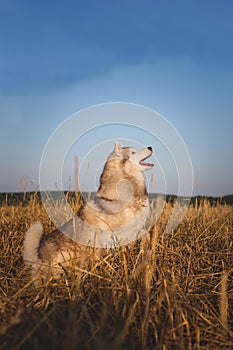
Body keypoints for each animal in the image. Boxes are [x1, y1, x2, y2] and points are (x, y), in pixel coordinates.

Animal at [23, 141, 154, 278]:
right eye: (133, 152)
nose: (150, 147)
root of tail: (36, 256)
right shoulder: (123, 231)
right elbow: (144, 233)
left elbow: (146, 234)